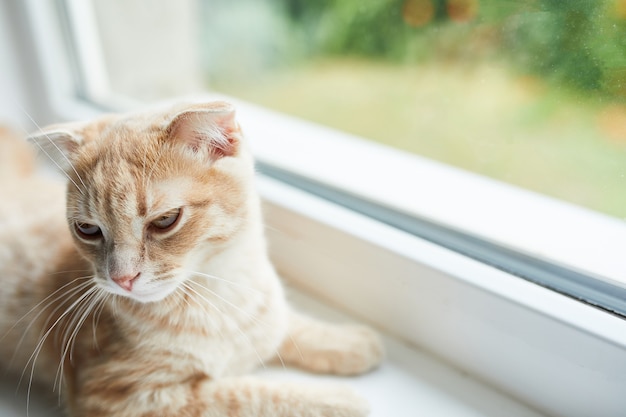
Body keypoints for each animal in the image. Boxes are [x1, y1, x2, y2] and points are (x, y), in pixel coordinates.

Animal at [0, 101, 380, 416]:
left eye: (165, 220)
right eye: (87, 229)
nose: (122, 279)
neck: (220, 293)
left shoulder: (265, 315)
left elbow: (289, 324)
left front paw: (350, 342)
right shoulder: (123, 396)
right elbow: (245, 396)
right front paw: (334, 401)